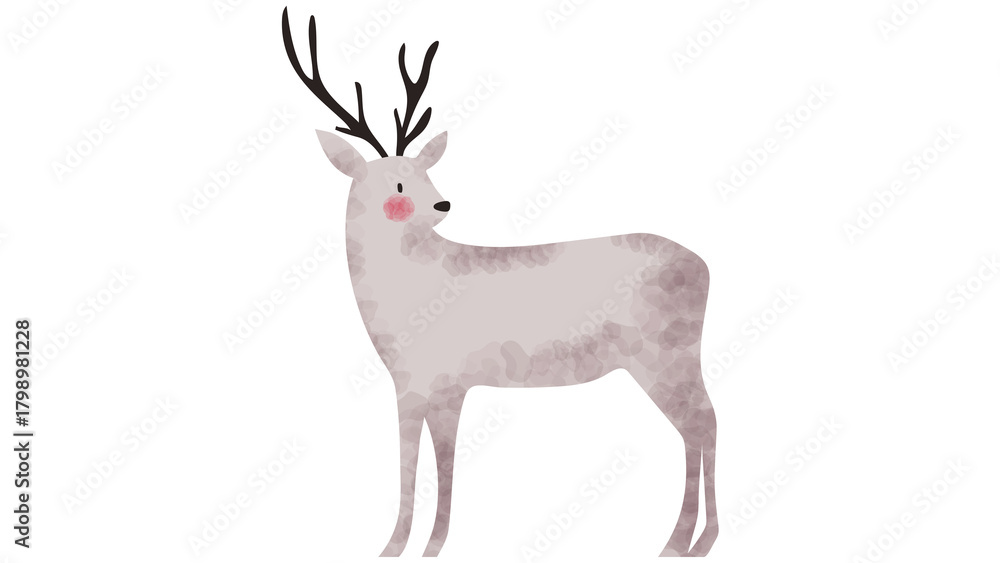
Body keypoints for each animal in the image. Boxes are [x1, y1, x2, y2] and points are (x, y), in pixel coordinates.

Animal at [281, 8, 718, 558]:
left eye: (423, 173)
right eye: (398, 182)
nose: (444, 203)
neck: (407, 295)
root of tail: (705, 266)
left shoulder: (429, 382)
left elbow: (423, 464)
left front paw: (404, 547)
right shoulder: (430, 386)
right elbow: (431, 463)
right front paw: (418, 546)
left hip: (664, 355)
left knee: (703, 422)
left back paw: (687, 542)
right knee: (699, 424)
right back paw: (689, 542)